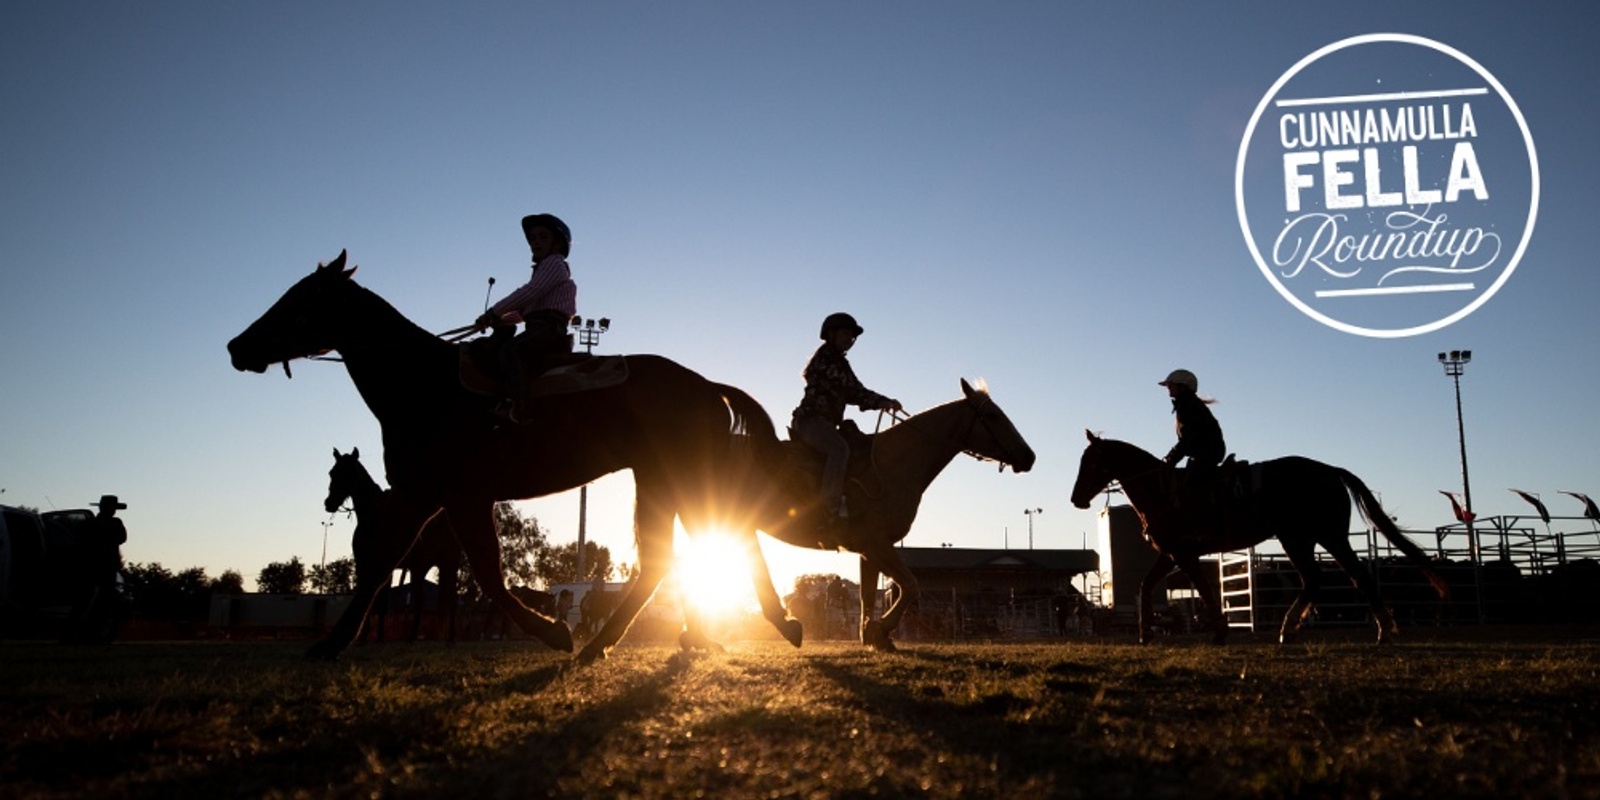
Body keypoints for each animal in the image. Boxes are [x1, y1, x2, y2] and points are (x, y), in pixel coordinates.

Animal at [324, 451, 464, 643]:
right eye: (332, 473)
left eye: (347, 473)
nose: (329, 503)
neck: (373, 516)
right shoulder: (367, 565)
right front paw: (371, 637)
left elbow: (379, 602)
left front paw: (372, 637)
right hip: (430, 568)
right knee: (433, 600)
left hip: (440, 566)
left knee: (442, 600)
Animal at [713, 379, 1036, 649]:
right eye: (992, 415)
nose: (1029, 456)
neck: (892, 464)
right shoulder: (876, 544)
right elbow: (910, 586)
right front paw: (882, 629)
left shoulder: (869, 550)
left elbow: (869, 595)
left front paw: (872, 635)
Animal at [1068, 432, 1446, 643]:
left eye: (1092, 463)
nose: (1076, 498)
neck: (1161, 489)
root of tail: (1329, 471)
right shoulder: (1172, 553)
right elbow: (1146, 585)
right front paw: (1145, 632)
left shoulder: (1185, 554)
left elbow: (1203, 590)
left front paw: (1219, 632)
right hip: (1309, 538)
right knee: (1327, 579)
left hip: (1318, 537)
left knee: (1346, 577)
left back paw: (1373, 630)